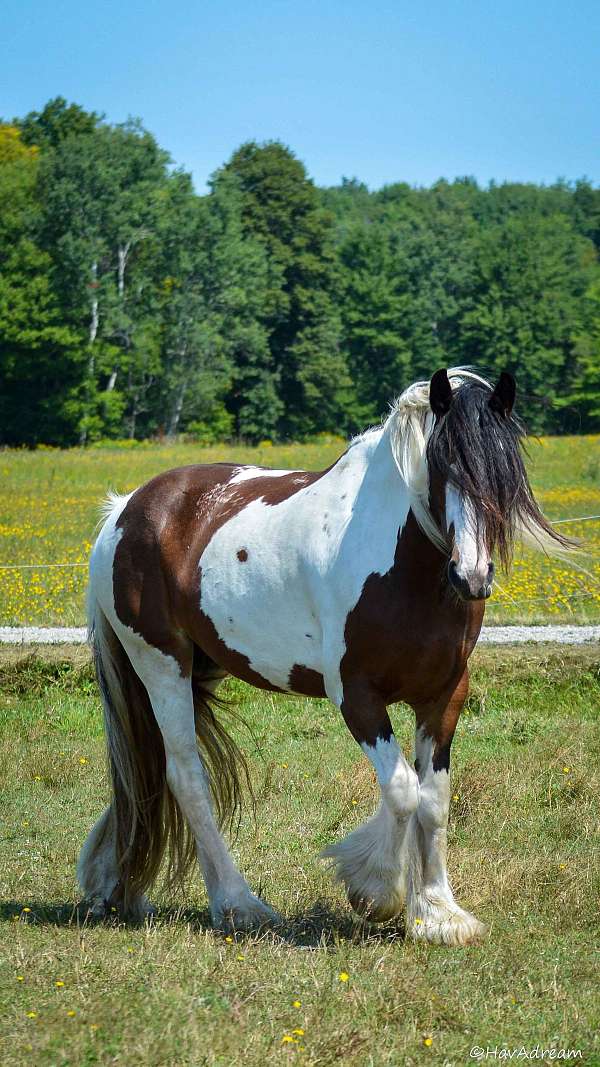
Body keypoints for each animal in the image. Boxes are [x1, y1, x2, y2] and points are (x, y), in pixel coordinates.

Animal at [79, 367, 567, 946]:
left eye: (504, 471)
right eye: (442, 467)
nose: (471, 576)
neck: (404, 568)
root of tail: (125, 509)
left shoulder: (445, 695)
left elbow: (434, 799)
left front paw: (438, 914)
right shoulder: (357, 696)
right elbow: (402, 791)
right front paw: (375, 892)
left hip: (201, 667)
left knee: (147, 774)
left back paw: (122, 888)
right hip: (160, 663)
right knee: (185, 777)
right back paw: (239, 905)